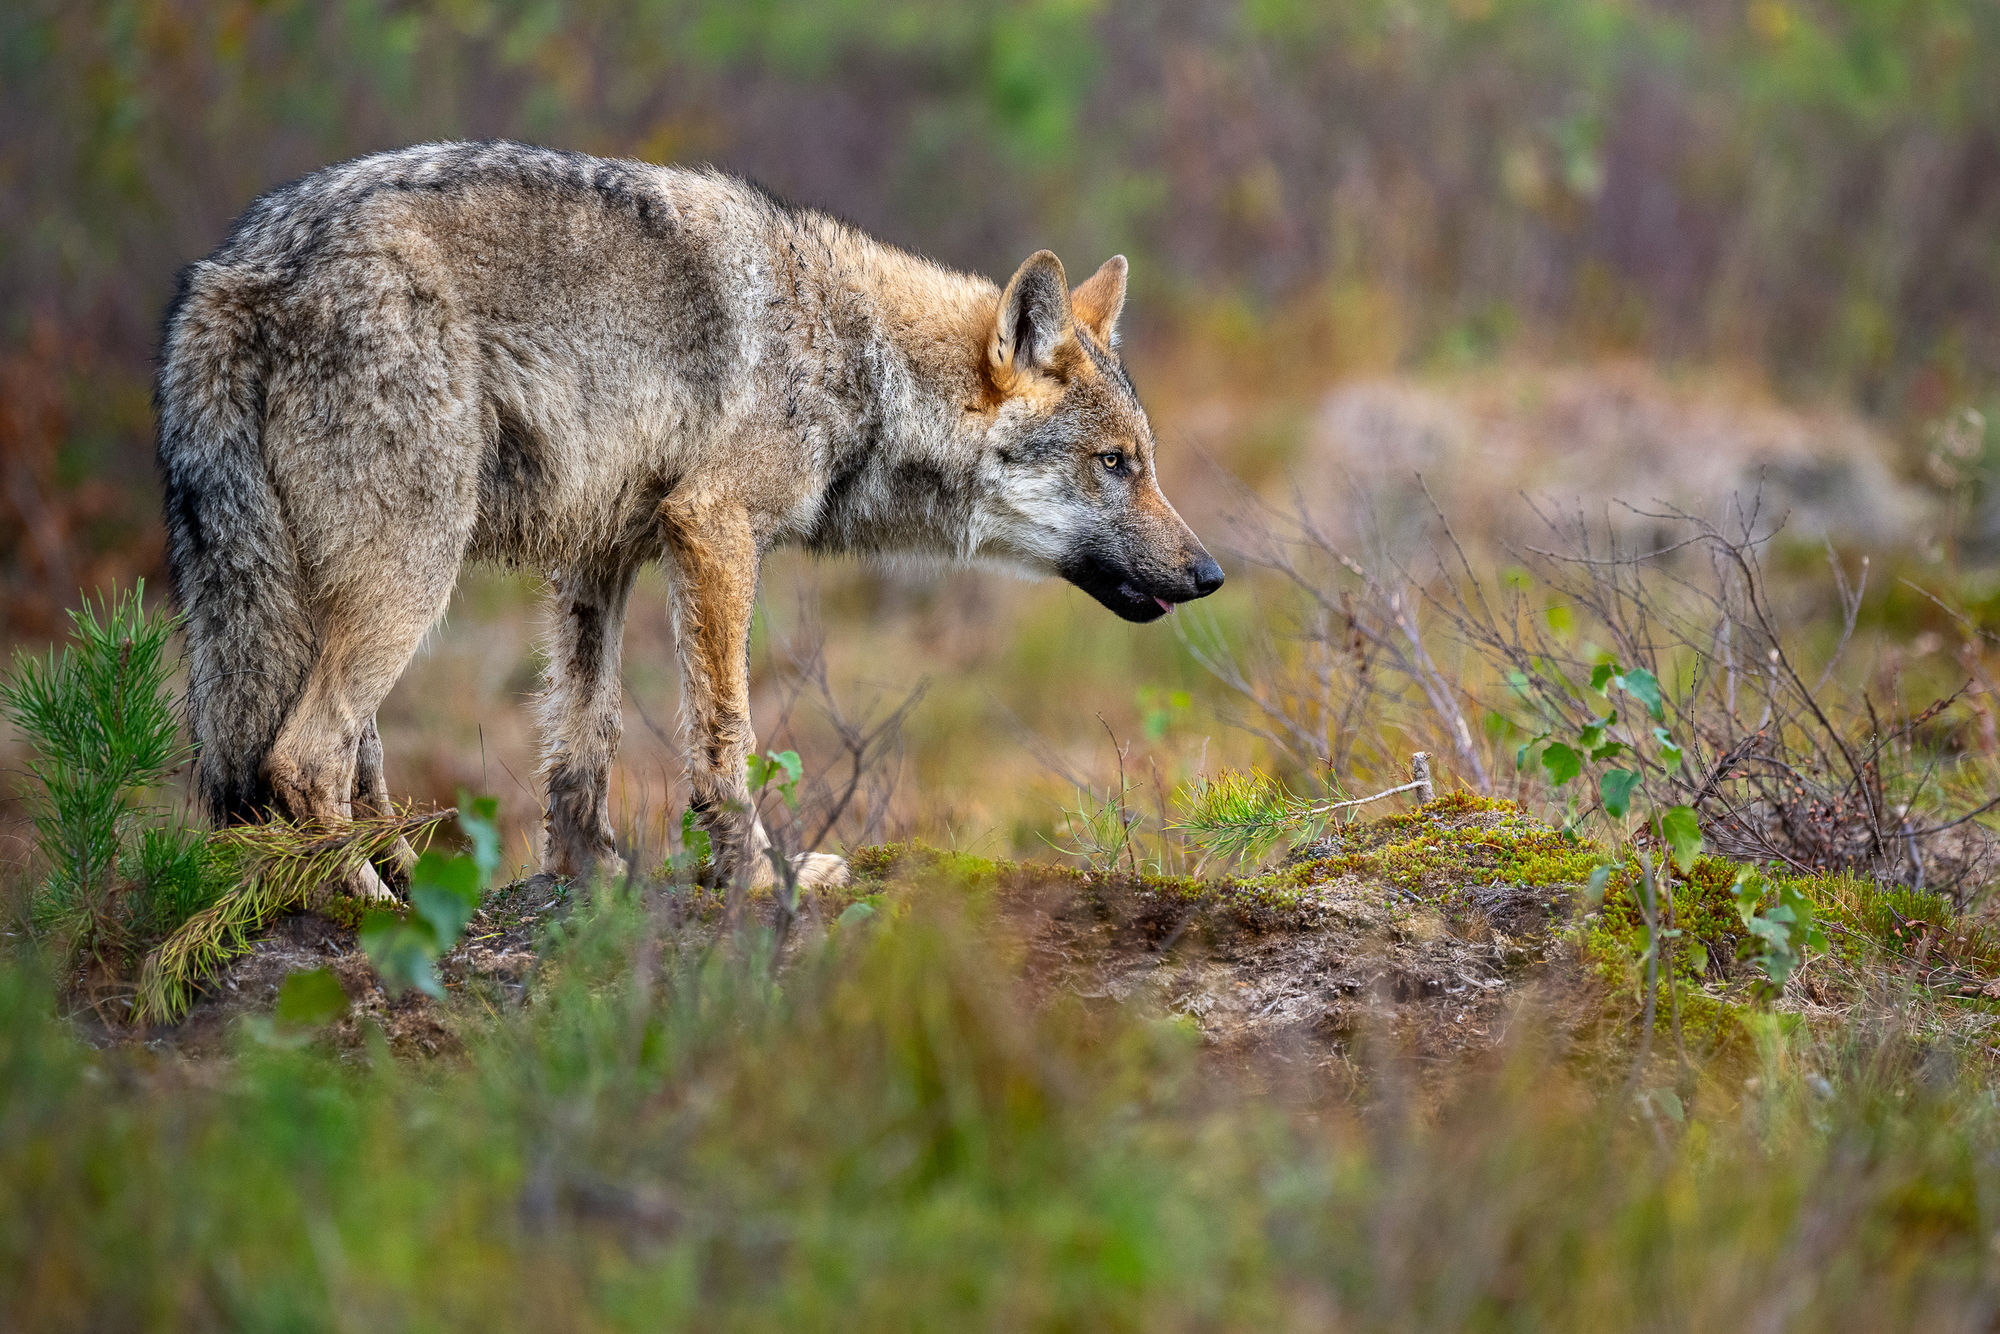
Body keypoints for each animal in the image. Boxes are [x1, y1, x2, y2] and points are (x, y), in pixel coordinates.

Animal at [157, 140, 1223, 896]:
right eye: (1116, 465)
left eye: (1145, 464)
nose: (1210, 574)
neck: (856, 354)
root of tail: (231, 272)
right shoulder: (713, 530)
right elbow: (724, 735)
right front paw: (754, 876)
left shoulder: (598, 555)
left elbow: (582, 742)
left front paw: (586, 879)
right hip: (414, 575)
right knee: (304, 755)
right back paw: (367, 906)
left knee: (348, 754)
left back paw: (408, 886)